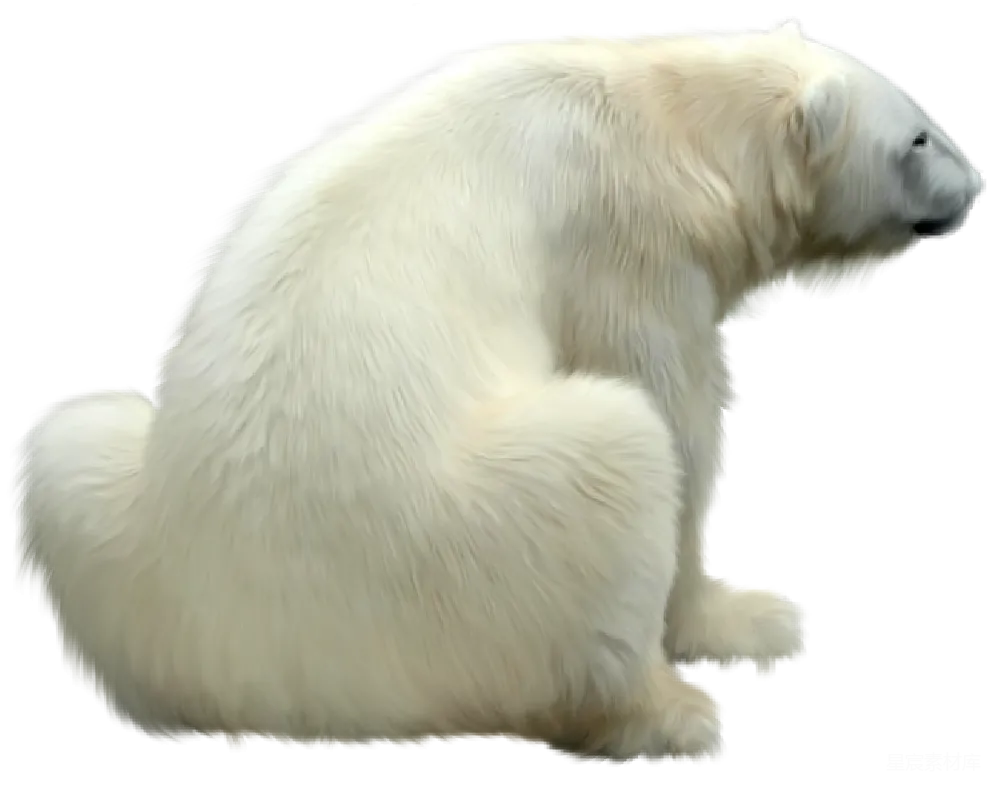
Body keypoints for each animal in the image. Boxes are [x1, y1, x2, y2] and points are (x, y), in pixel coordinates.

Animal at [11, 22, 984, 764]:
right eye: (916, 138)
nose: (977, 186)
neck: (661, 113)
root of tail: (269, 683)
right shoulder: (623, 235)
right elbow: (674, 410)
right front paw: (756, 619)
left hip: (118, 519)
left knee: (69, 442)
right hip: (451, 540)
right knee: (614, 459)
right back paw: (672, 716)